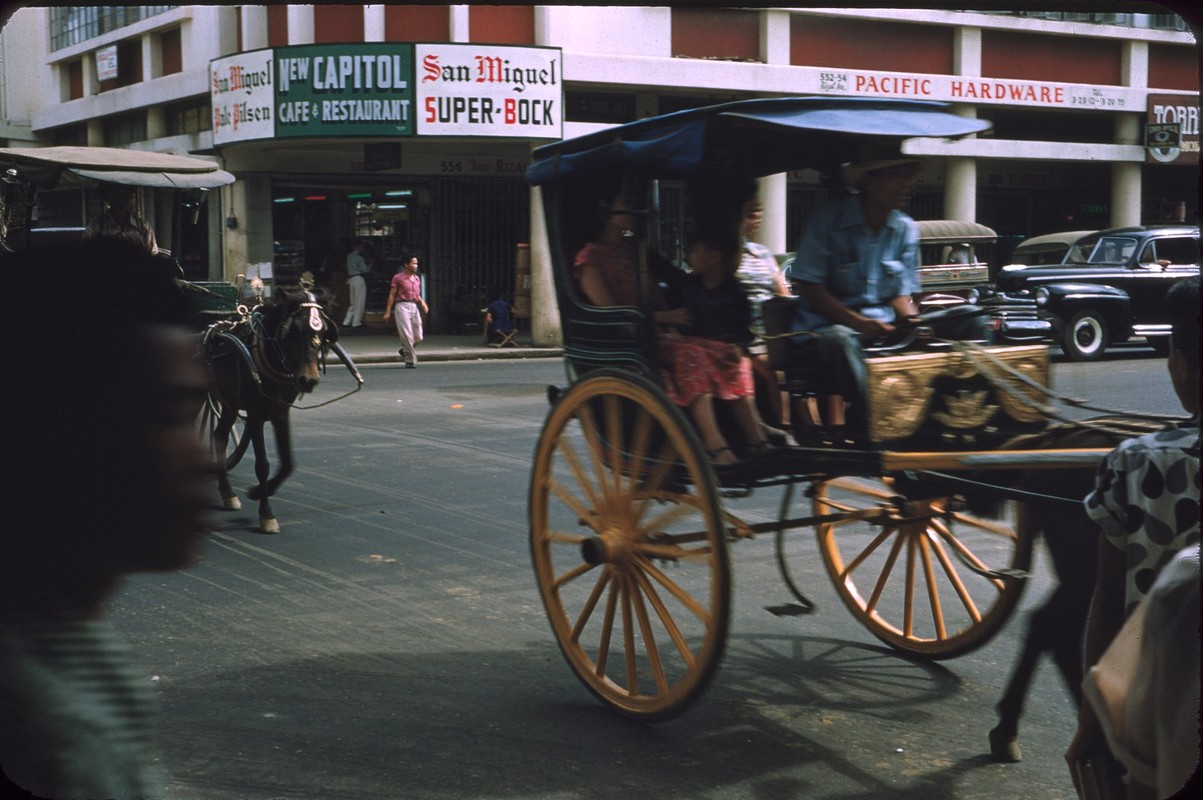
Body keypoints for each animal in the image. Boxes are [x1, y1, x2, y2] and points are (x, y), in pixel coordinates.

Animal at [203, 289, 348, 534]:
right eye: (292, 330)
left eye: (322, 332)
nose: (308, 380)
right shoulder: (255, 413)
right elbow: (262, 464)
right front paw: (266, 514)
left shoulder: (281, 411)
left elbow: (288, 462)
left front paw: (258, 492)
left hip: (229, 402)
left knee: (220, 436)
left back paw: (227, 493)